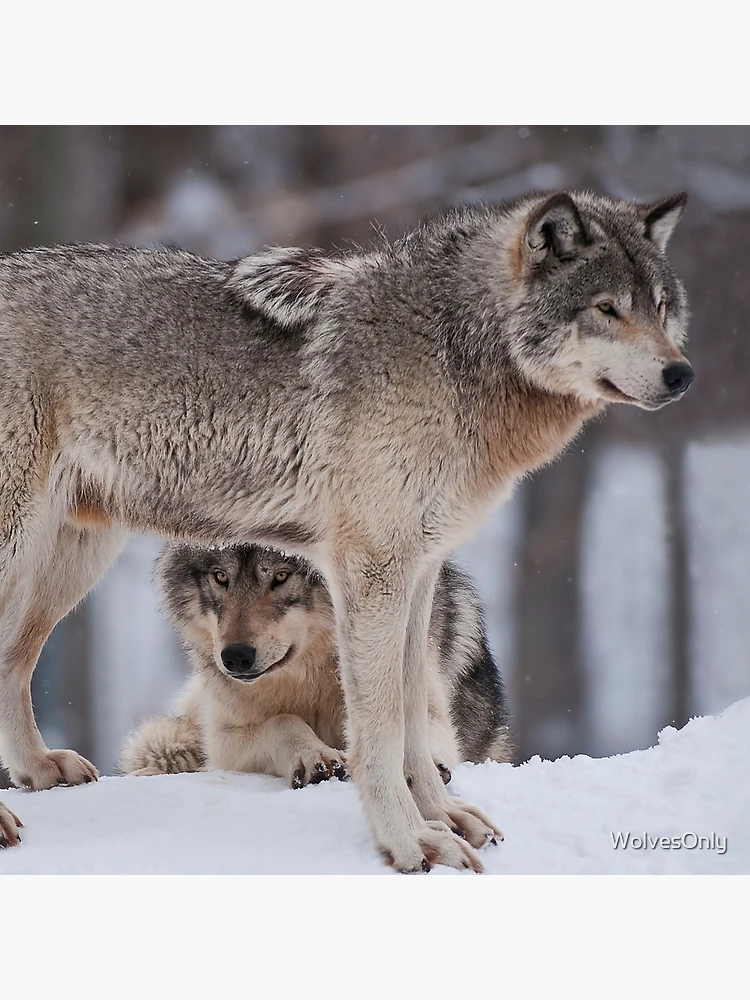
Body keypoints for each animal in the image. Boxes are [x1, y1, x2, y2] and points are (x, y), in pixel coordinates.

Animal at [119, 544, 512, 797]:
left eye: (281, 576)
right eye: (220, 577)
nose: (236, 657)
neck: (311, 676)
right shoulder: (223, 741)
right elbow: (283, 721)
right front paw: (315, 756)